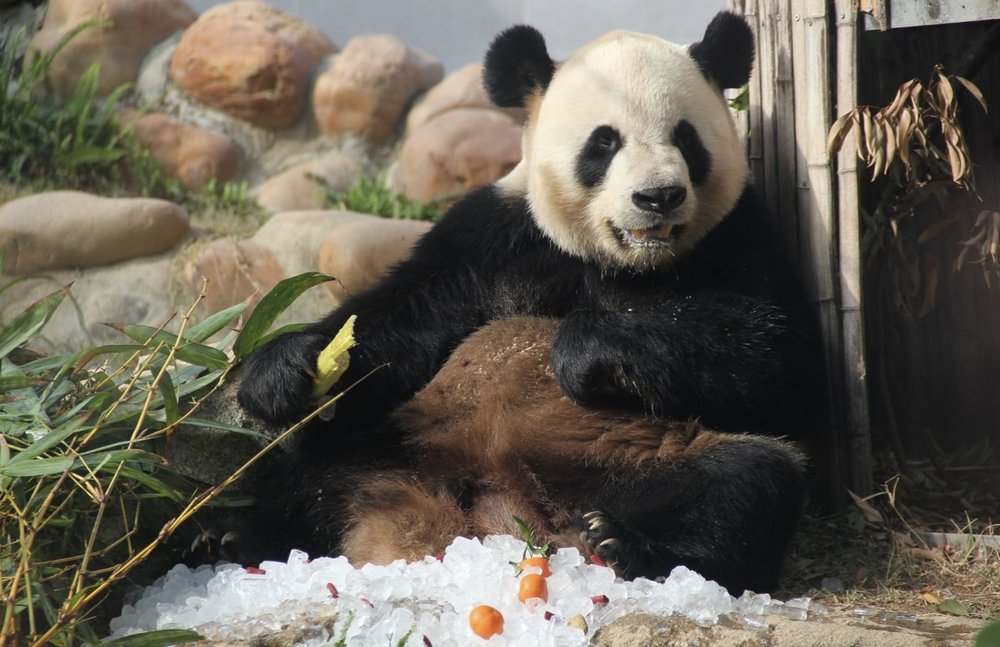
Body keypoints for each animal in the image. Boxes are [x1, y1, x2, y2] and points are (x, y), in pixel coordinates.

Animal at [235, 11, 821, 595]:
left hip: (648, 456)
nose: (659, 196)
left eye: (686, 137)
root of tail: (510, 518)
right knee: (305, 465)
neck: (624, 260)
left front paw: (583, 350)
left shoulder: (739, 234)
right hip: (403, 438)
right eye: (604, 143)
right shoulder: (492, 238)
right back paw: (235, 534)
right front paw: (284, 371)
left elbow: (779, 361)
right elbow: (399, 324)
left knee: (747, 481)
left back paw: (628, 545)